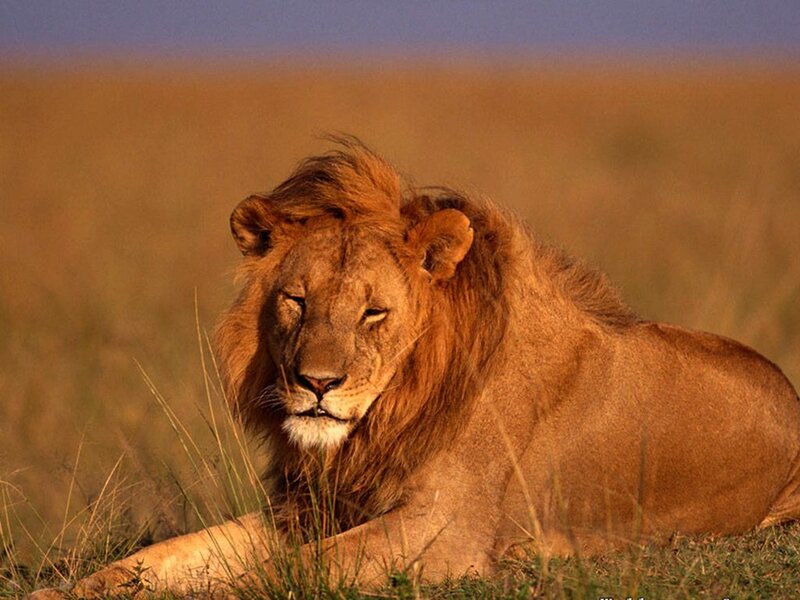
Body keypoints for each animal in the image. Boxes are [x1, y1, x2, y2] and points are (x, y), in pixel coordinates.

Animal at [32, 138, 800, 597]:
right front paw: (62, 588)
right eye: (296, 301)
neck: (388, 417)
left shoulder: (445, 530)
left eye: (374, 313)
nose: (316, 385)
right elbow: (166, 555)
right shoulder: (310, 507)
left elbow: (292, 570)